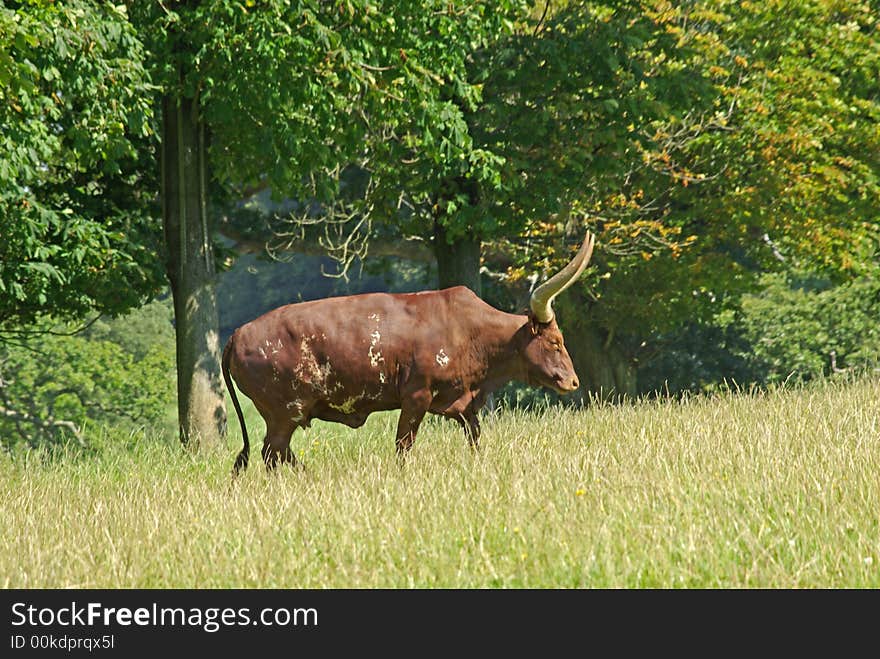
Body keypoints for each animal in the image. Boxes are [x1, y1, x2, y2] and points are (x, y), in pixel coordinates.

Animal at [222, 232, 600, 474]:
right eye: (555, 342)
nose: (573, 381)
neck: (469, 330)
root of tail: (237, 334)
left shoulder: (462, 404)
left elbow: (475, 439)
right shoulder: (416, 397)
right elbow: (403, 447)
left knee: (276, 455)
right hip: (284, 413)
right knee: (273, 454)